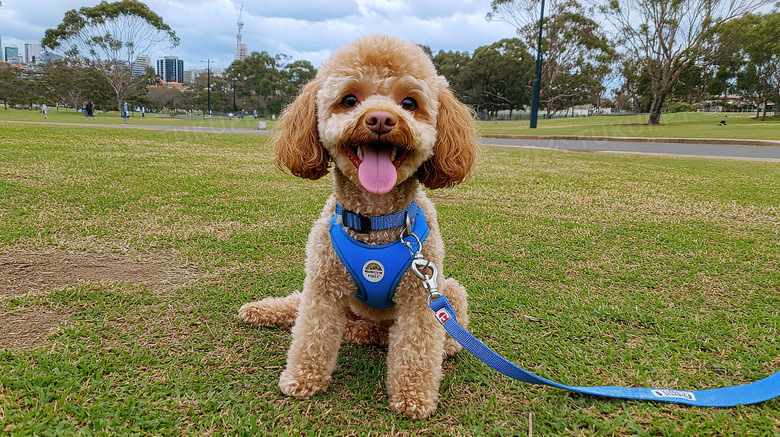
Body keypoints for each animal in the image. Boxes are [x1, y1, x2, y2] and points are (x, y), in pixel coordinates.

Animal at [241, 35, 478, 418]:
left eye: (409, 103)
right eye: (349, 99)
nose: (380, 119)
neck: (375, 220)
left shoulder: (420, 297)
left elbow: (416, 348)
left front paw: (413, 396)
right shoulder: (322, 285)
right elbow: (311, 333)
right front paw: (302, 378)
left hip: (447, 290)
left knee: (446, 332)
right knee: (296, 305)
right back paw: (261, 310)